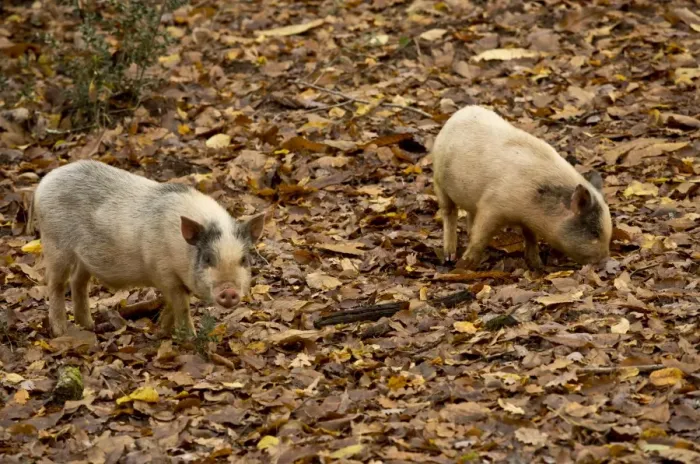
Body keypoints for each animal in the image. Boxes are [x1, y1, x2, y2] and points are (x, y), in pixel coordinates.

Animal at [31, 160, 266, 338]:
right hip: (55, 243)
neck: (183, 250)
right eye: (208, 258)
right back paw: (61, 332)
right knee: (56, 284)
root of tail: (45, 181)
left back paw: (89, 326)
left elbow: (173, 305)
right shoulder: (164, 273)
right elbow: (182, 306)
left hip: (83, 257)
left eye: (244, 260)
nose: (229, 291)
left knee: (78, 282)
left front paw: (161, 331)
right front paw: (190, 338)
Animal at [431, 105, 612, 270]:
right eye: (594, 232)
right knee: (449, 213)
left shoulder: (527, 220)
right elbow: (480, 237)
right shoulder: (491, 206)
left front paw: (537, 265)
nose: (605, 261)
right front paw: (463, 266)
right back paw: (449, 257)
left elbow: (530, 237)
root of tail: (459, 113)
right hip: (439, 180)